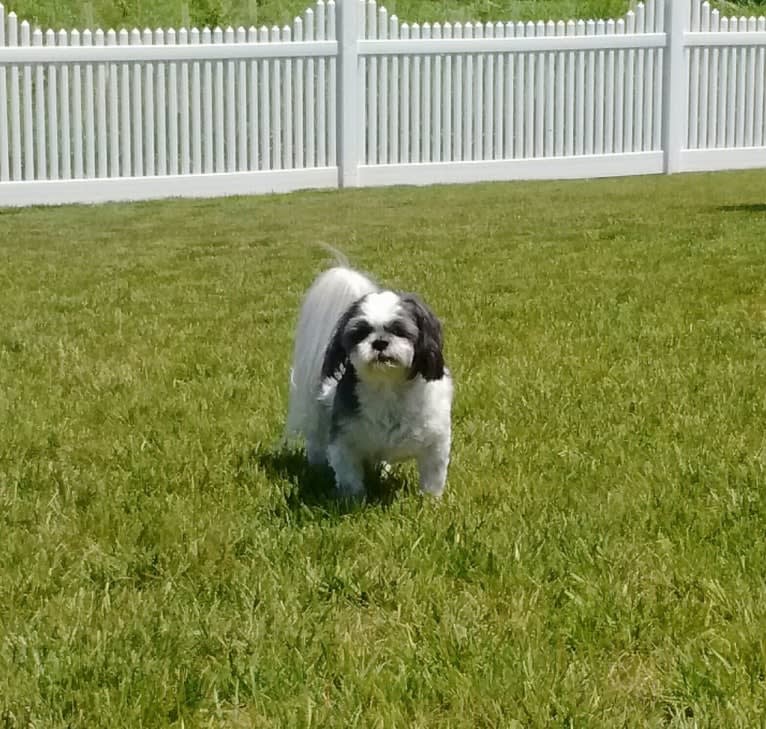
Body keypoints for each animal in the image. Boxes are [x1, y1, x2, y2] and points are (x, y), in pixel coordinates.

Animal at [288, 264, 456, 498]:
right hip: (317, 415)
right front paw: (353, 498)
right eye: (360, 333)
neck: (387, 388)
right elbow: (349, 475)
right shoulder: (344, 438)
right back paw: (317, 467)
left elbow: (433, 477)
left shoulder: (435, 441)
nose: (379, 342)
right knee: (316, 441)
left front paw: (431, 500)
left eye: (399, 330)